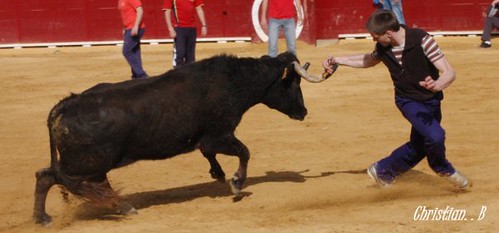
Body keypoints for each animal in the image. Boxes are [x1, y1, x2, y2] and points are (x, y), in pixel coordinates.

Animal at [33, 52, 326, 224]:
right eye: (294, 83)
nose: (303, 112)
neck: (234, 81)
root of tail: (63, 106)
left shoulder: (207, 139)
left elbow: (210, 153)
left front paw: (218, 174)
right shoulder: (219, 135)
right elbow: (244, 151)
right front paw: (236, 183)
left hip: (90, 166)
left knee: (69, 180)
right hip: (84, 164)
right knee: (48, 177)